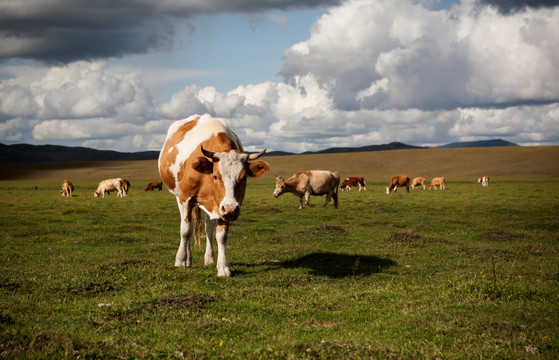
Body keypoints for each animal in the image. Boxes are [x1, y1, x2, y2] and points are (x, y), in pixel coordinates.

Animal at [159, 114, 270, 278]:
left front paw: (223, 268)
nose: (230, 208)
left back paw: (209, 258)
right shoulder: (185, 199)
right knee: (189, 227)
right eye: (216, 176)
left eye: (244, 178)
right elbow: (185, 230)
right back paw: (187, 259)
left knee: (208, 228)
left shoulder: (224, 207)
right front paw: (180, 260)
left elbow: (221, 236)